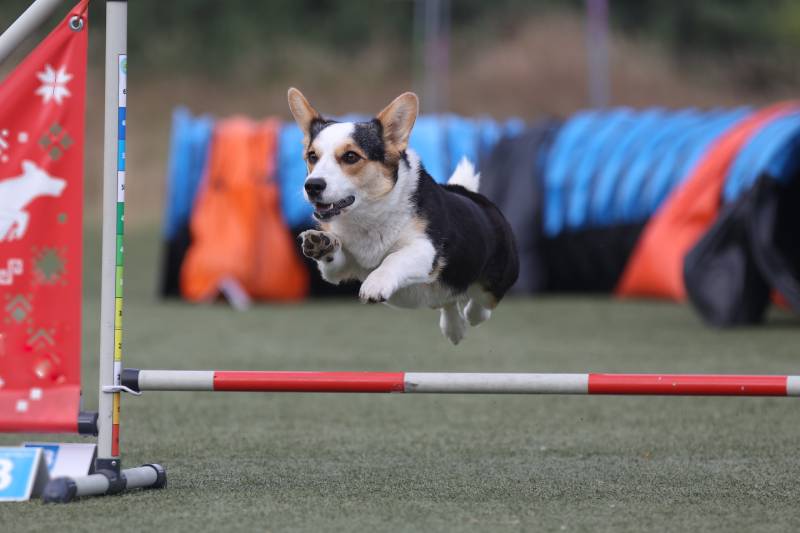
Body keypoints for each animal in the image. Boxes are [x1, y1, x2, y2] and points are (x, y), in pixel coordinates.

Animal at [290, 88, 520, 344]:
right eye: (312, 156)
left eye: (350, 156)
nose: (312, 186)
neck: (369, 215)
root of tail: (469, 193)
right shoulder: (339, 270)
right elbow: (334, 258)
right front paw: (322, 244)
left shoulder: (425, 249)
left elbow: (394, 258)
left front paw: (375, 284)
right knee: (449, 302)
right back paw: (454, 328)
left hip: (495, 281)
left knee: (481, 304)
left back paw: (470, 315)